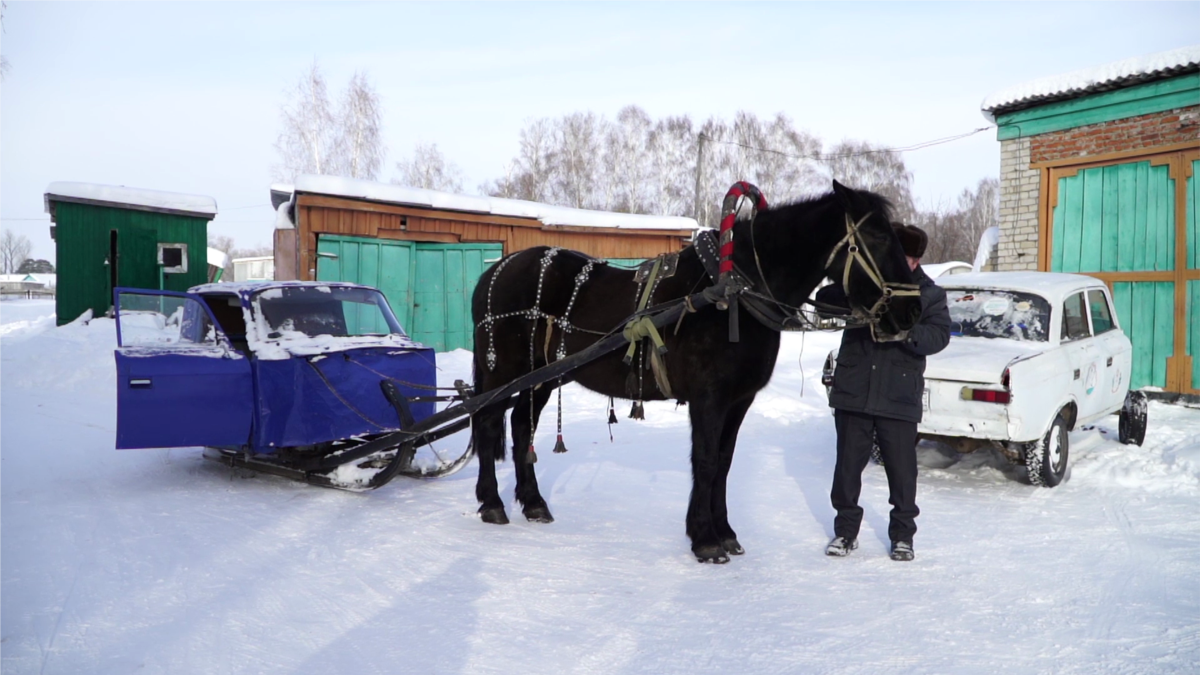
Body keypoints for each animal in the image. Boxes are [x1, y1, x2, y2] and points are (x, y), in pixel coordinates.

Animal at [468, 180, 916, 562]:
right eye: (877, 238)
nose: (909, 311)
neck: (733, 294)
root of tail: (494, 270)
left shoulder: (738, 400)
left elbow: (723, 462)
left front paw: (726, 532)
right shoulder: (708, 398)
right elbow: (704, 460)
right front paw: (705, 539)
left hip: (543, 376)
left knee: (521, 425)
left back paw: (533, 503)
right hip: (502, 371)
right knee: (488, 421)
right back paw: (492, 503)